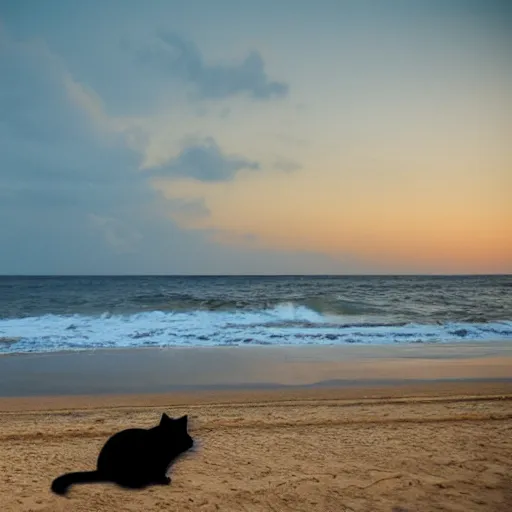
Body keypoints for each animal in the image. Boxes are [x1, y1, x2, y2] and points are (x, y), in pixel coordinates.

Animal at [51, 414, 194, 494]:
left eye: (179, 433)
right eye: (170, 432)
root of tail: (100, 470)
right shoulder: (157, 465)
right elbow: (158, 474)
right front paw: (164, 481)